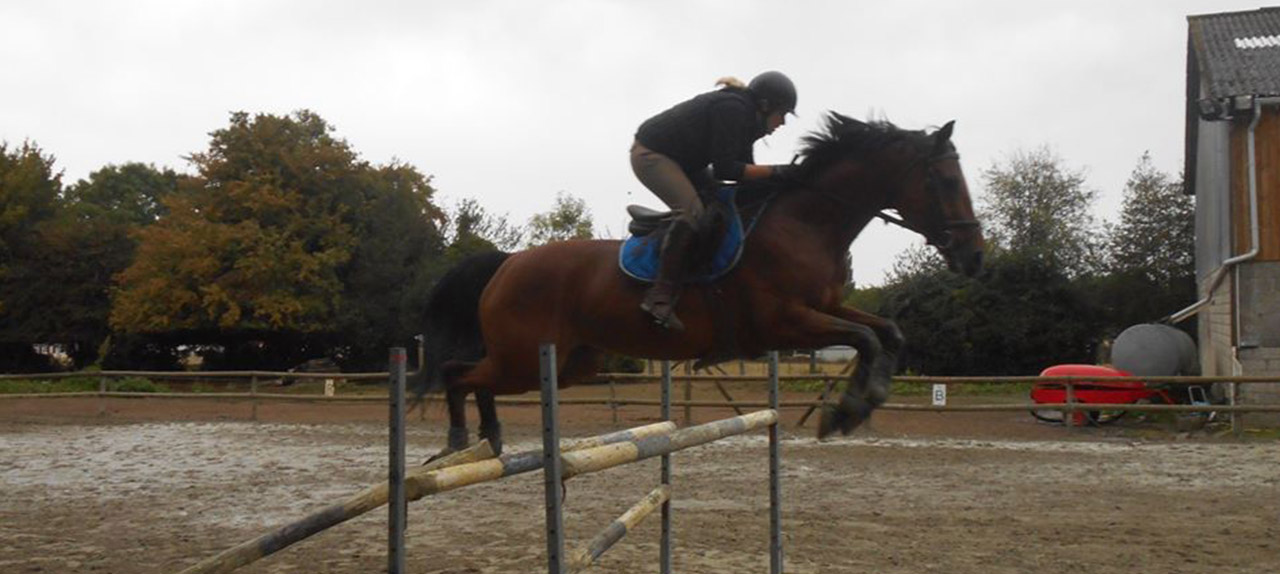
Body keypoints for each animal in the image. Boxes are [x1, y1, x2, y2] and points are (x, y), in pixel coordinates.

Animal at [414, 112, 983, 453]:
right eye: (946, 181)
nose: (975, 256)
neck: (805, 222)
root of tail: (508, 262)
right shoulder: (786, 323)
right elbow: (865, 338)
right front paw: (845, 411)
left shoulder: (825, 309)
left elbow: (886, 332)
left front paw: (863, 401)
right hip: (523, 357)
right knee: (457, 373)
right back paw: (463, 437)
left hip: (570, 362)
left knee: (473, 377)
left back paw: (488, 439)